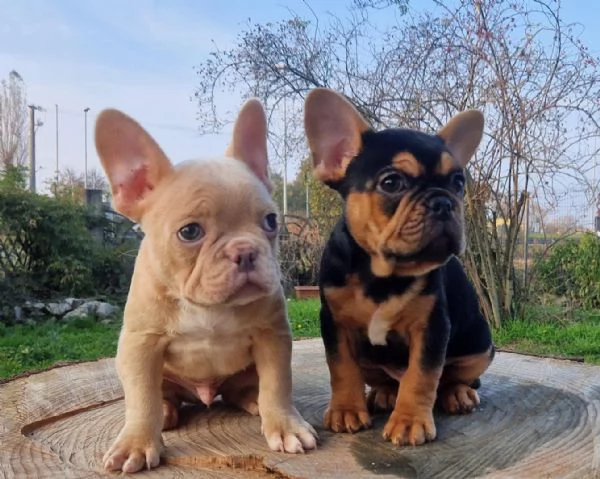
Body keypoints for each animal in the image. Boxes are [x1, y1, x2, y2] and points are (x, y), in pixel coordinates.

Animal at [94, 99, 318, 474]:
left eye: (271, 221)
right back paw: (167, 410)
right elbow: (141, 398)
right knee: (160, 396)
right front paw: (137, 442)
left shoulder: (271, 337)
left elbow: (277, 385)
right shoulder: (141, 345)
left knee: (246, 388)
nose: (245, 251)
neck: (207, 305)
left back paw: (253, 400)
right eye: (190, 232)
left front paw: (285, 426)